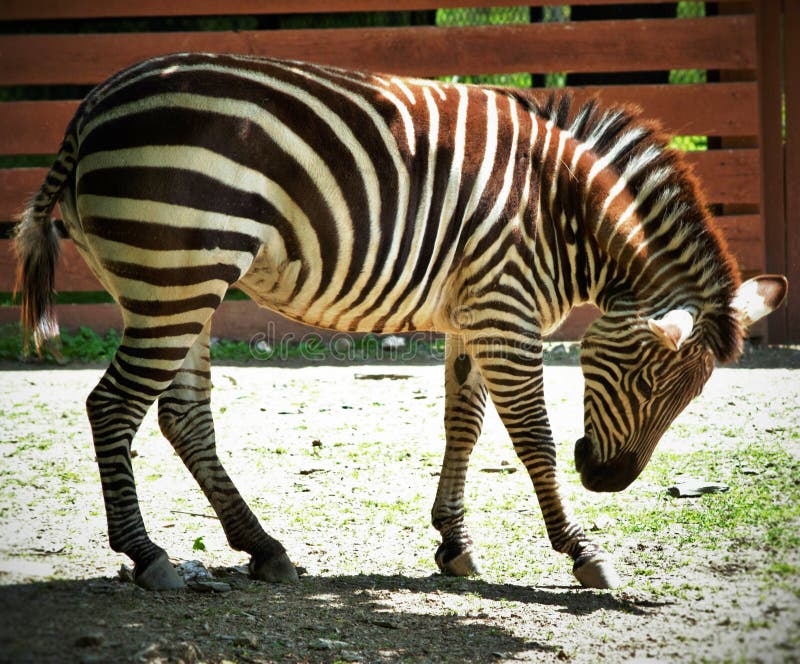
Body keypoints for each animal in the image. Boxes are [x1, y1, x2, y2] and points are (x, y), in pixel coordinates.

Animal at [15, 53, 787, 591]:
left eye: (688, 397)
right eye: (646, 380)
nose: (606, 480)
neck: (565, 212)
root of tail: (91, 104)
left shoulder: (475, 312)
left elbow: (463, 425)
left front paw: (455, 543)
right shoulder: (505, 309)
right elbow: (531, 438)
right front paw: (581, 550)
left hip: (170, 282)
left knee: (181, 416)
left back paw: (262, 547)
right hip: (177, 273)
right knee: (112, 406)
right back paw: (147, 555)